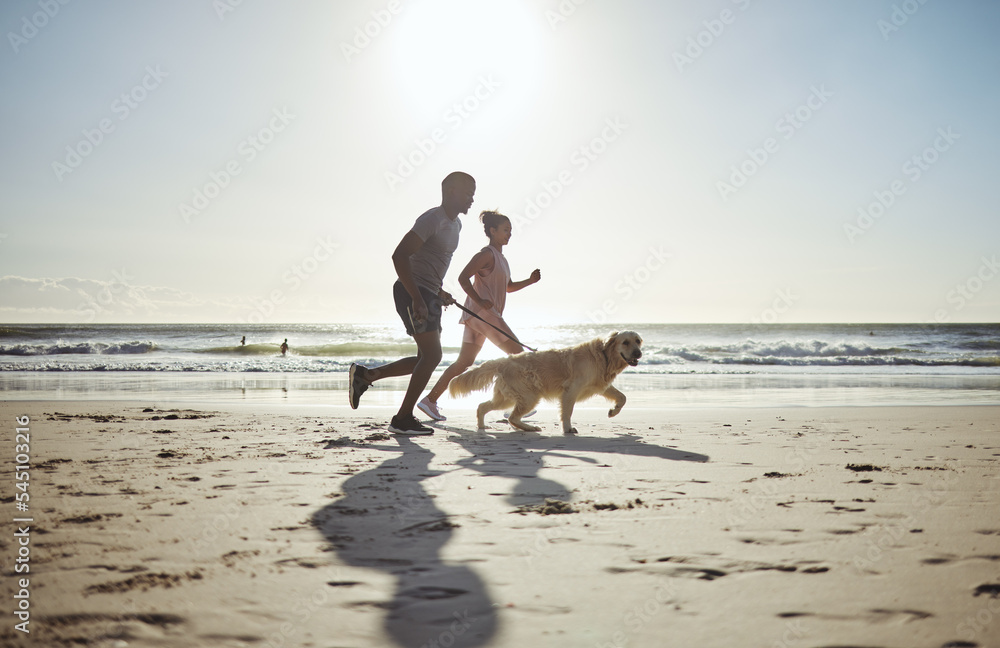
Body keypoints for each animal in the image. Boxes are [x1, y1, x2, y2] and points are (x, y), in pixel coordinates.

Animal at [450, 332, 644, 432]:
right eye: (625, 342)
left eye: (638, 341)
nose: (638, 353)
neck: (603, 355)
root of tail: (503, 361)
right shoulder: (571, 389)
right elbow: (567, 412)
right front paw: (568, 429)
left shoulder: (600, 385)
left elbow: (622, 397)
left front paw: (614, 411)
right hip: (529, 396)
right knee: (512, 417)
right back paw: (529, 428)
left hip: (506, 398)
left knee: (483, 407)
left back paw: (483, 426)